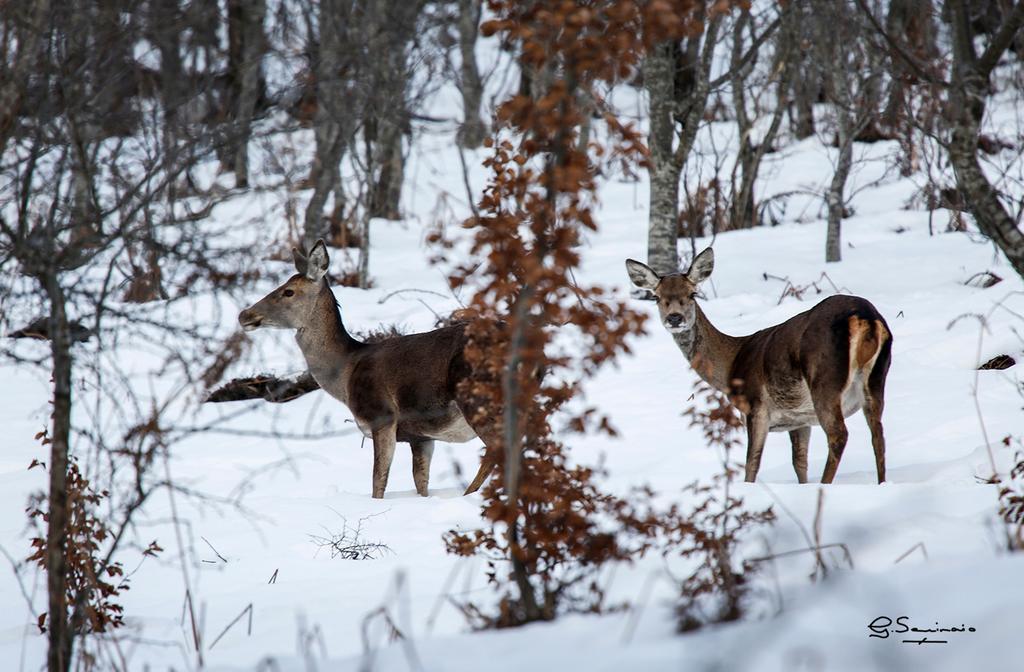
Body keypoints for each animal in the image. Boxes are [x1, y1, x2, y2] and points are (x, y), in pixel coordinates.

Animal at [236, 241, 499, 497]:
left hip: (476, 396)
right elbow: (420, 483)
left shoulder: (381, 415)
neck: (346, 372)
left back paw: (469, 493)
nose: (244, 314)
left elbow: (377, 482)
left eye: (288, 291)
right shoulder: (420, 436)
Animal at [622, 248, 888, 485]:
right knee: (878, 436)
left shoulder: (755, 406)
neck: (731, 364)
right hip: (876, 379)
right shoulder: (800, 419)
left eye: (692, 293)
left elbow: (752, 463)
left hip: (825, 379)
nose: (675, 318)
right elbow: (799, 462)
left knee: (839, 435)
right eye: (657, 296)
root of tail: (864, 317)